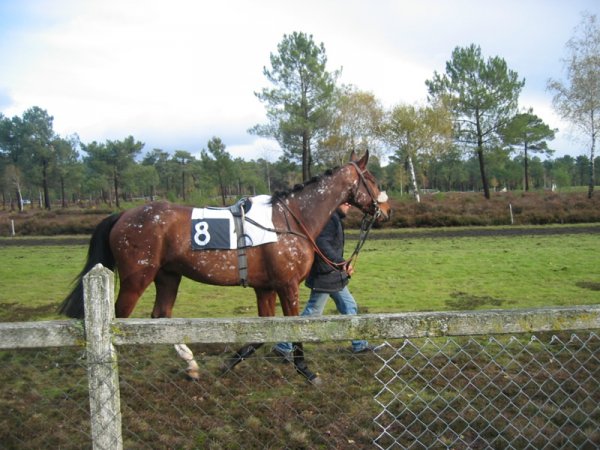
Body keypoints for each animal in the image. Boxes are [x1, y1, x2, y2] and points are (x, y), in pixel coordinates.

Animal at [58, 151, 392, 384]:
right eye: (373, 179)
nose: (387, 210)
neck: (289, 221)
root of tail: (124, 215)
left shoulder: (265, 287)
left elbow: (264, 331)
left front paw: (231, 361)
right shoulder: (287, 286)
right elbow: (294, 326)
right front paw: (305, 370)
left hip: (168, 275)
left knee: (160, 315)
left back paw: (191, 365)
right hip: (137, 276)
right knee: (118, 319)